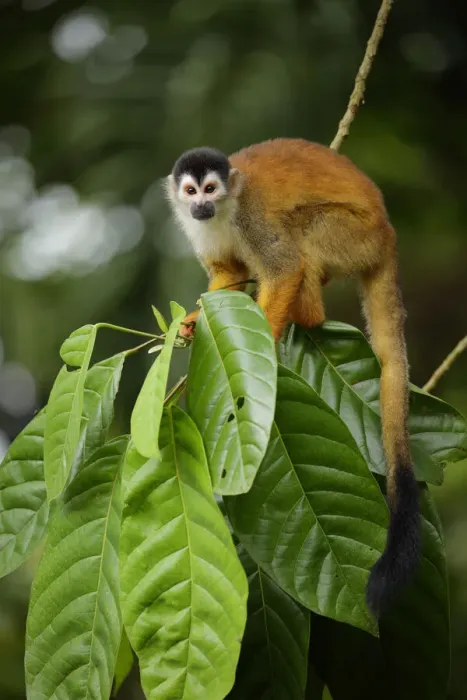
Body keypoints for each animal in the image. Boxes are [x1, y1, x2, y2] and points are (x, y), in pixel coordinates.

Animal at [165, 138, 420, 618]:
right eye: (190, 191)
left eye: (211, 188)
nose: (201, 206)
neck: (224, 212)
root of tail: (389, 235)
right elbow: (225, 273)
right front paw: (193, 319)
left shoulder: (250, 217)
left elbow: (283, 267)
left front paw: (260, 338)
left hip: (354, 237)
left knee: (299, 238)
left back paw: (307, 312)